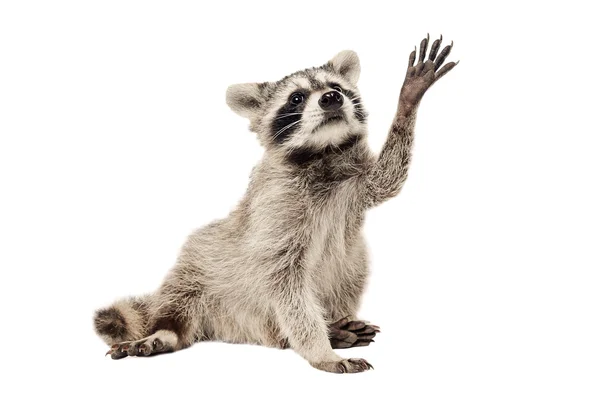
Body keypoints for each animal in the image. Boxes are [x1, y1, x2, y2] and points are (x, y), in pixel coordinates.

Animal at [96, 34, 458, 372]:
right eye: (296, 98)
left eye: (336, 87)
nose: (331, 98)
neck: (322, 155)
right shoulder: (275, 209)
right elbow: (284, 284)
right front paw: (321, 352)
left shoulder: (353, 185)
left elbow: (387, 178)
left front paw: (408, 99)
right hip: (196, 269)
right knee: (182, 303)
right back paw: (167, 332)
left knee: (355, 261)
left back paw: (333, 327)